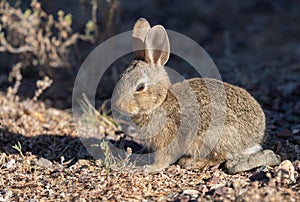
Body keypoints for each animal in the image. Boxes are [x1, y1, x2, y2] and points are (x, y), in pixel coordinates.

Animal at [112, 18, 268, 171]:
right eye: (120, 77)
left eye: (140, 87)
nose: (118, 105)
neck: (161, 102)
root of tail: (254, 138)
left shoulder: (169, 139)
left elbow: (163, 158)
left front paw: (149, 168)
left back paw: (191, 162)